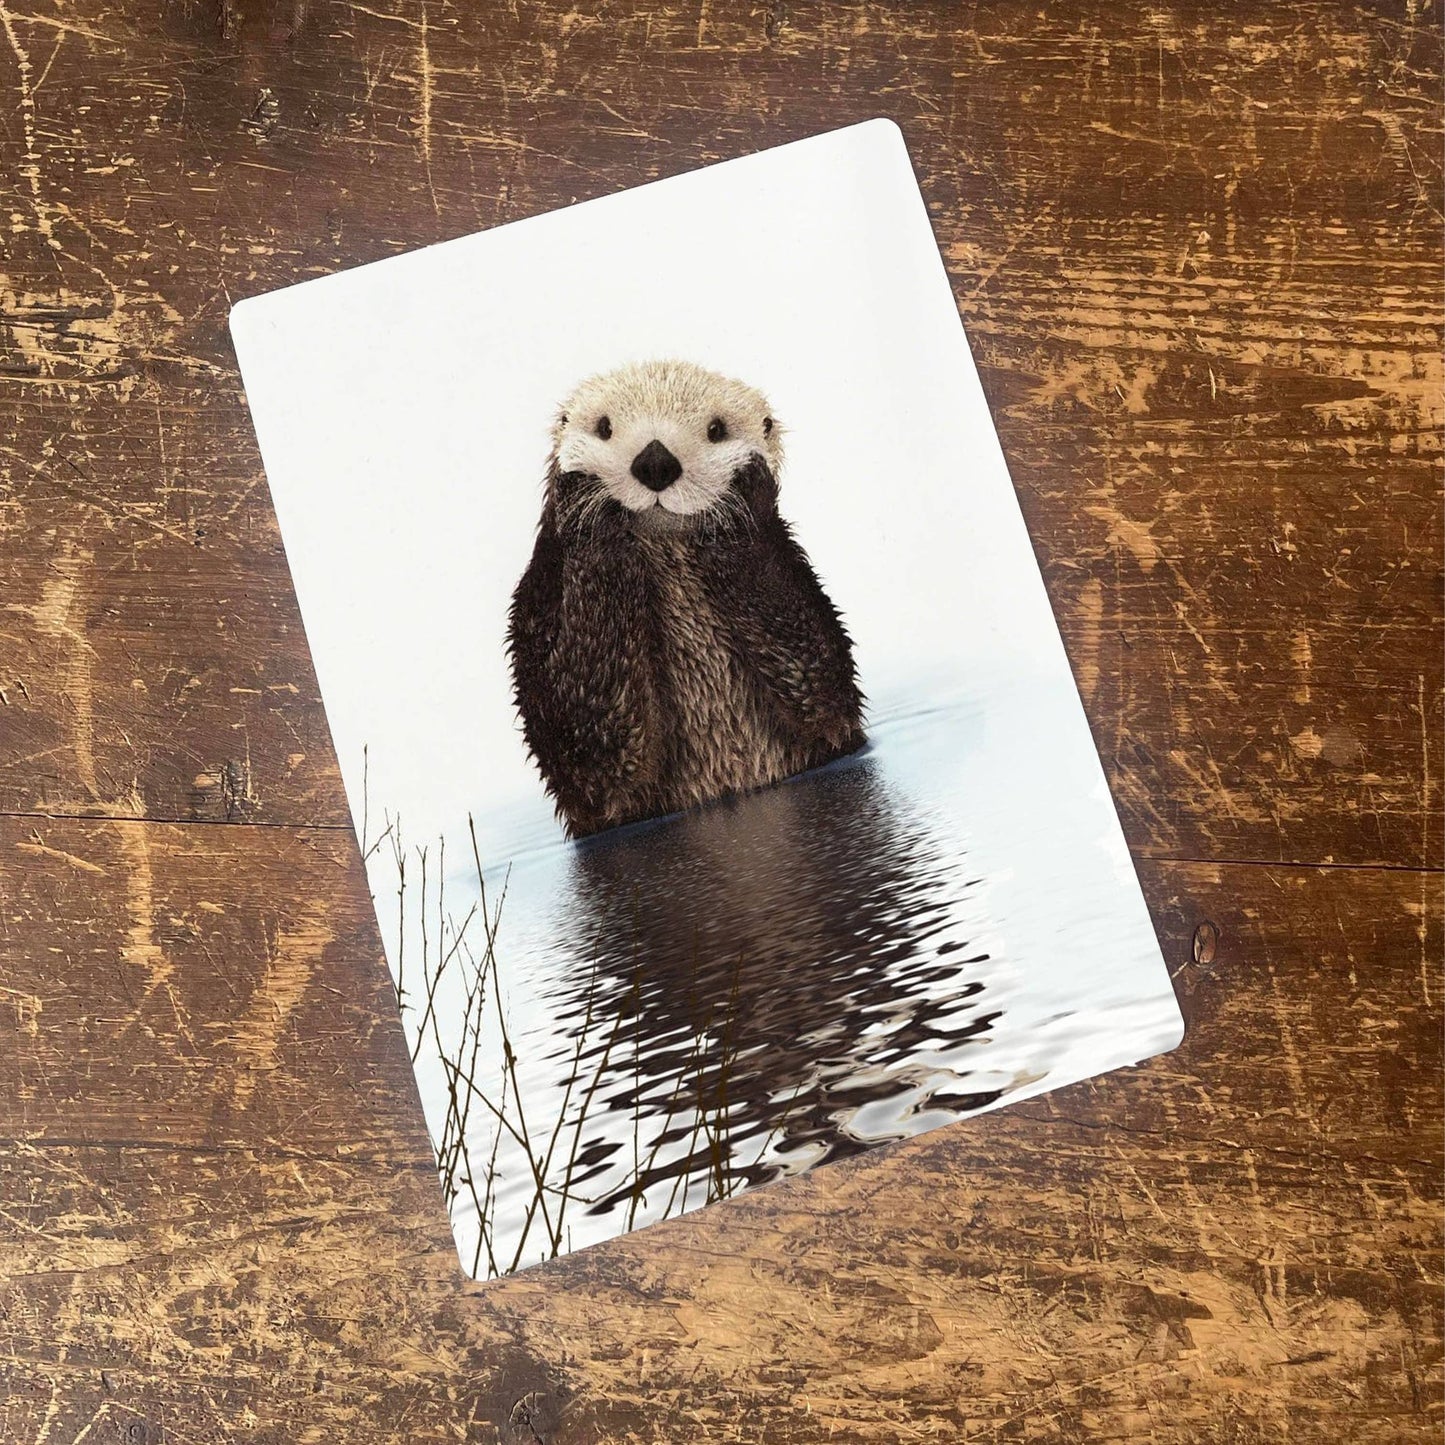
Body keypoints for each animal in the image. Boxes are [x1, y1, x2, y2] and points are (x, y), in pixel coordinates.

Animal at [507, 358, 865, 838]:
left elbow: (820, 685)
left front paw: (743, 492)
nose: (655, 461)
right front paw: (585, 503)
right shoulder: (537, 608)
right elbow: (591, 740)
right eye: (603, 427)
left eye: (716, 429)